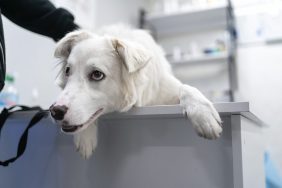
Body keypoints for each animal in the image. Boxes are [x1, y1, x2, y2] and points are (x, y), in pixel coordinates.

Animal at [50, 24, 223, 159]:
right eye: (67, 71)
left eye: (97, 74)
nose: (55, 111)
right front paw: (85, 137)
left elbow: (186, 87)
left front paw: (203, 115)